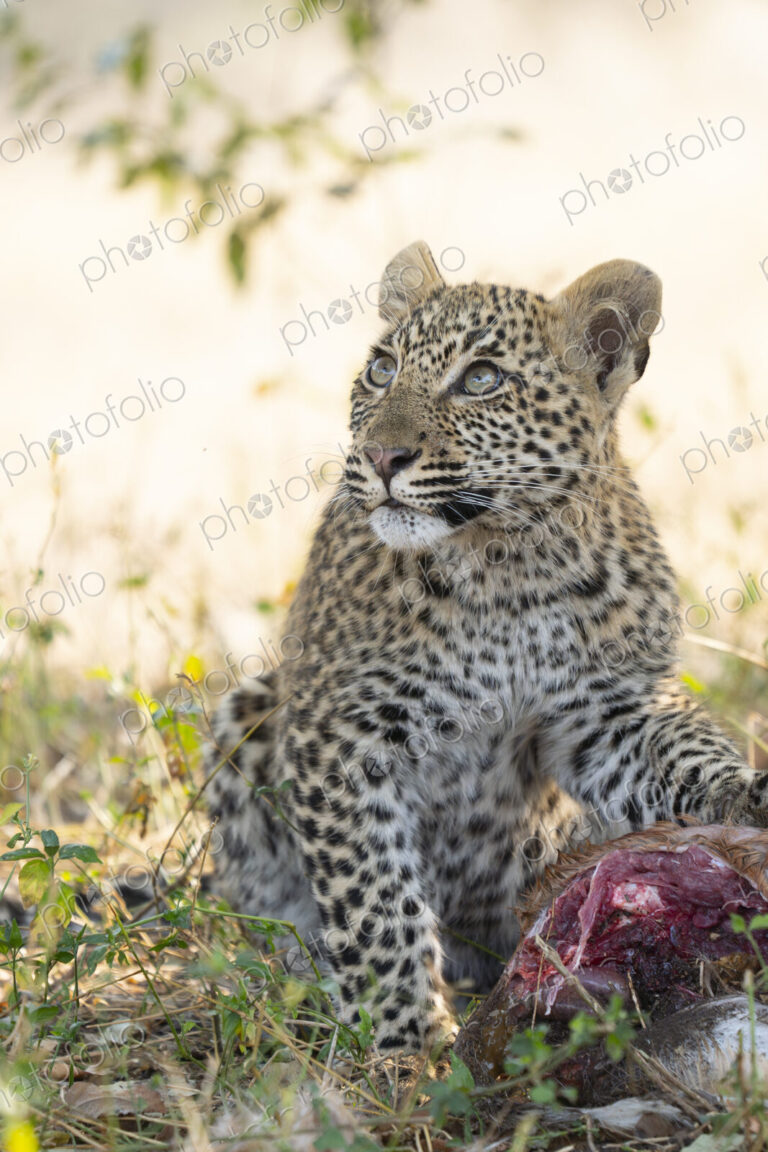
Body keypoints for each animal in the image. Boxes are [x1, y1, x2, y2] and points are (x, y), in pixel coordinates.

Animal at [205, 241, 768, 1054]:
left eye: (481, 379)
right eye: (382, 369)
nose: (382, 455)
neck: (507, 566)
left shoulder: (607, 716)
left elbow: (685, 755)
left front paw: (744, 797)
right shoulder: (341, 734)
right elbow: (375, 900)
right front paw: (408, 1039)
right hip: (251, 712)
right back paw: (293, 973)